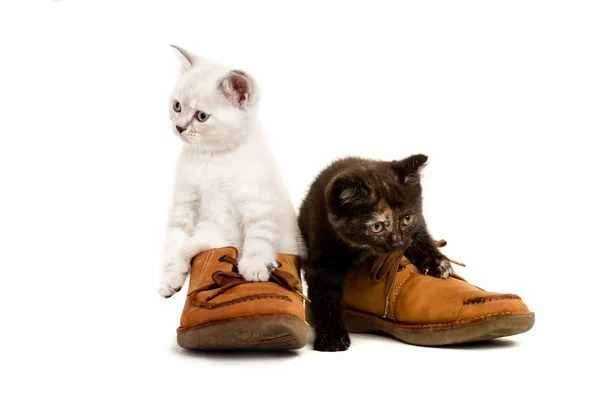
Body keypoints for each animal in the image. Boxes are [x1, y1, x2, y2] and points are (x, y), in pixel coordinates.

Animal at [158, 46, 300, 296]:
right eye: (177, 106)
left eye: (201, 116)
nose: (179, 127)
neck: (212, 158)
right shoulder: (184, 205)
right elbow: (174, 243)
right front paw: (170, 278)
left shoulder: (257, 203)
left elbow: (258, 236)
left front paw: (254, 269)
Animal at [300, 155, 450, 352]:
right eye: (376, 227)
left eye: (407, 219)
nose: (398, 244)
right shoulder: (322, 250)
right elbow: (325, 293)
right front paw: (332, 336)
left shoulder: (417, 223)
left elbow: (420, 234)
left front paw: (436, 262)